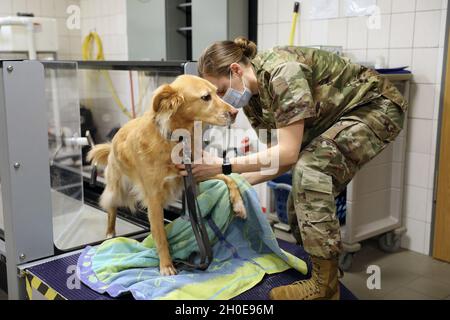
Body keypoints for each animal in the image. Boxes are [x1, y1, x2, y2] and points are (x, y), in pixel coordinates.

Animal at [87, 75, 246, 276]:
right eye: (205, 97)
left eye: (217, 93)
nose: (235, 112)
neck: (177, 140)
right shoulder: (154, 199)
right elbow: (160, 235)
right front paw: (166, 265)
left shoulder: (194, 174)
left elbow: (229, 178)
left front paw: (239, 205)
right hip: (117, 188)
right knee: (111, 207)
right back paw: (110, 233)